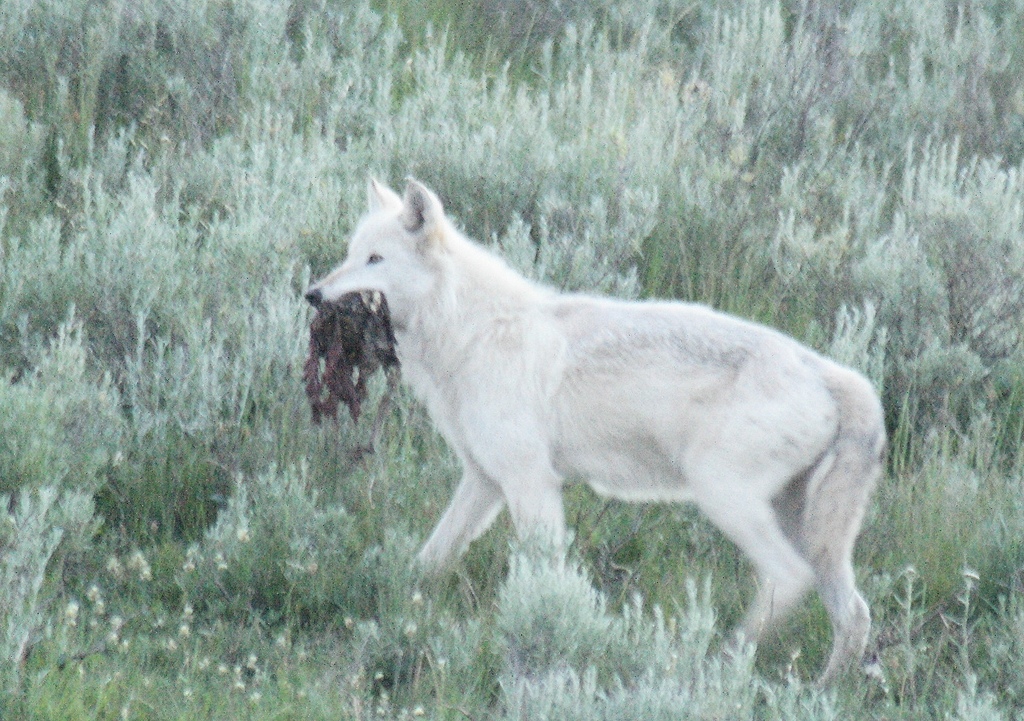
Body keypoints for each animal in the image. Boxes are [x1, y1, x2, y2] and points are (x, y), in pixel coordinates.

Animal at [305, 179, 886, 684]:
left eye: (375, 261)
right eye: (350, 255)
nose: (312, 294)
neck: (470, 331)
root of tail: (833, 375)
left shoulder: (531, 482)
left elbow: (544, 575)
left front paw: (546, 628)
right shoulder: (485, 482)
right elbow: (428, 560)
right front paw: (394, 600)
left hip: (724, 498)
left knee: (789, 581)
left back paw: (713, 663)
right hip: (807, 532)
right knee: (855, 614)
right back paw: (821, 690)